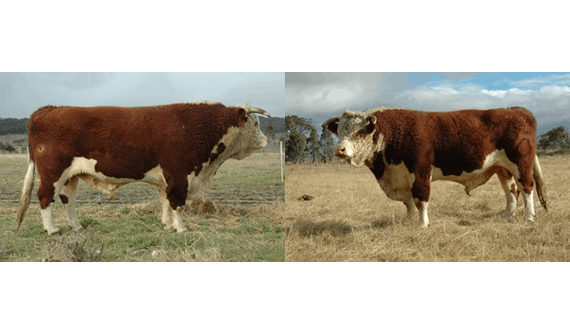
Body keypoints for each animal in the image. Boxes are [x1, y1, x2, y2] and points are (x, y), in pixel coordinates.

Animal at [15, 101, 268, 235]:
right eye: (256, 123)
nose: (266, 140)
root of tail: (47, 109)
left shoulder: (167, 179)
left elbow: (165, 201)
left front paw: (167, 225)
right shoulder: (180, 175)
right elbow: (177, 204)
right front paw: (181, 228)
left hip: (71, 175)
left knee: (68, 199)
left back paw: (77, 226)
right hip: (53, 171)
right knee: (45, 197)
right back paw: (52, 229)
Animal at [322, 105, 544, 227]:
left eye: (359, 132)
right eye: (339, 131)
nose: (339, 150)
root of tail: (518, 109)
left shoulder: (420, 171)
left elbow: (421, 199)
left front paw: (422, 224)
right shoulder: (402, 177)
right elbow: (409, 203)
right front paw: (408, 221)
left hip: (521, 163)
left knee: (526, 187)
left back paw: (530, 217)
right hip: (503, 168)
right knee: (511, 190)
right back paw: (508, 214)